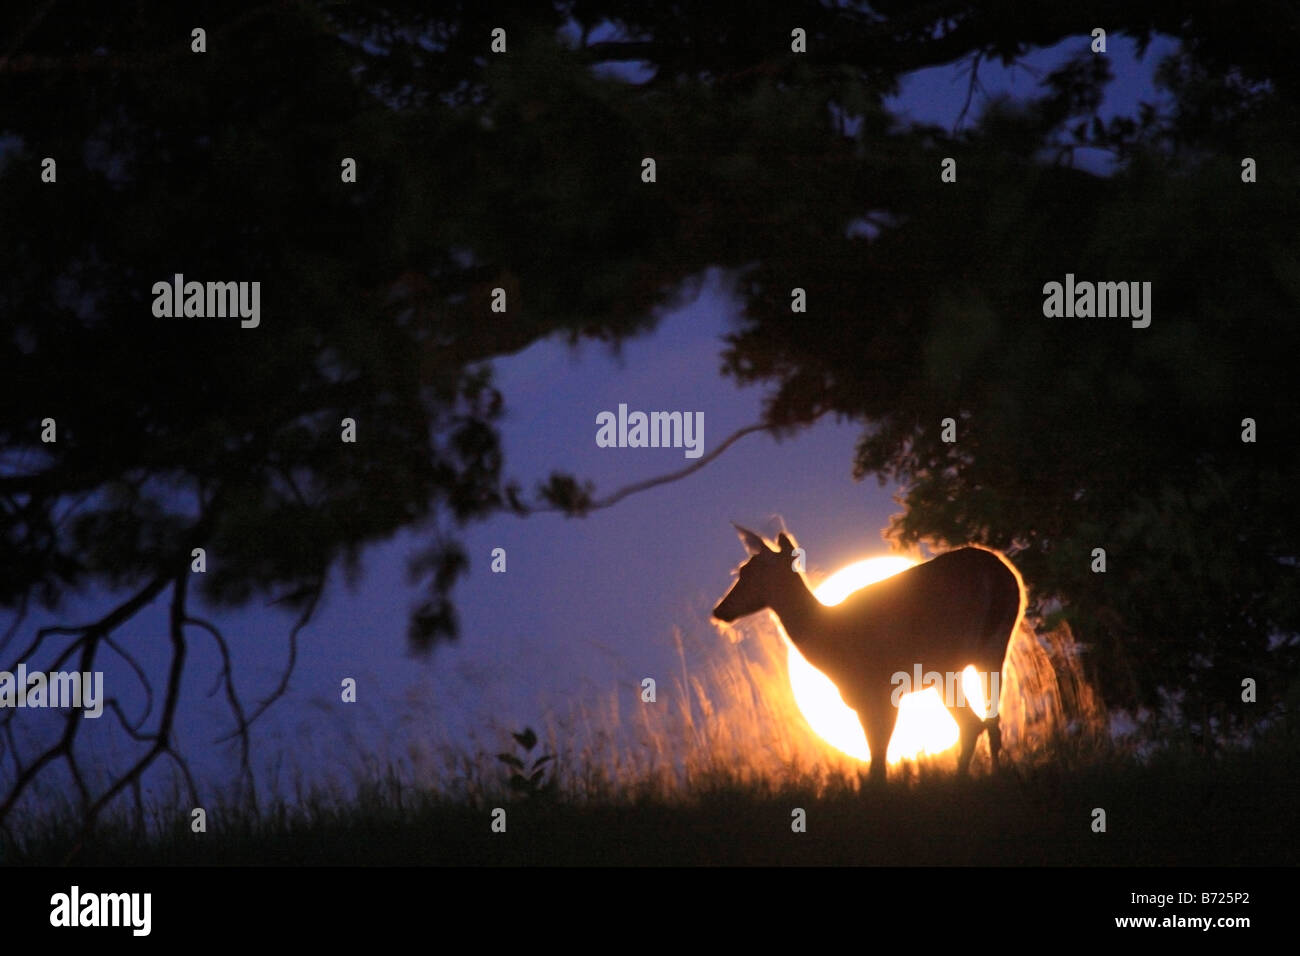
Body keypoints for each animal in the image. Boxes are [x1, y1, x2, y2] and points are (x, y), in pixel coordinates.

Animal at [712, 528, 1024, 780]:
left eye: (747, 572)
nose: (720, 610)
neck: (828, 639)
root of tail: (997, 576)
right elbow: (878, 755)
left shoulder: (879, 690)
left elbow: (878, 758)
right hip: (994, 647)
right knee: (990, 723)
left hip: (947, 654)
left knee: (972, 724)